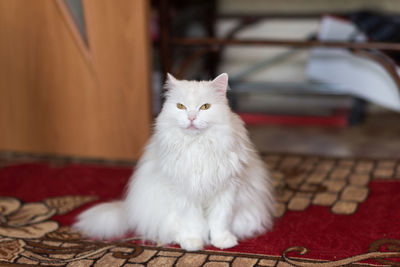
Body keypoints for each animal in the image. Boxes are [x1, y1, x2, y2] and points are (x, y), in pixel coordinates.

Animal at [73, 73, 276, 251]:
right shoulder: (185, 194)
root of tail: (129, 207)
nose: (191, 117)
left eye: (205, 107)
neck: (197, 147)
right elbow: (193, 223)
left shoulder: (226, 191)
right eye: (181, 106)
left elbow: (219, 221)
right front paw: (194, 243)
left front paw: (222, 241)